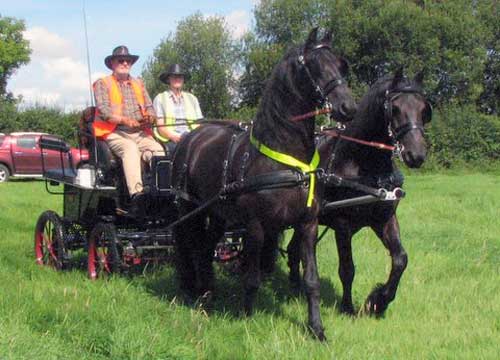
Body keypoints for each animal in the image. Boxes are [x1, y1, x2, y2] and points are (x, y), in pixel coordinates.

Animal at [170, 28, 358, 340]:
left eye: (342, 65)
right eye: (315, 66)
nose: (349, 107)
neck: (287, 160)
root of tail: (192, 138)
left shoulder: (307, 224)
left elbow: (311, 280)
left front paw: (316, 328)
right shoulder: (256, 226)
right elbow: (252, 278)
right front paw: (246, 317)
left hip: (219, 215)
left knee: (205, 249)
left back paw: (209, 294)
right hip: (189, 209)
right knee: (190, 247)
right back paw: (193, 291)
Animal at [288, 67, 432, 316]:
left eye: (424, 109)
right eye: (394, 108)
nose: (416, 155)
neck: (361, 162)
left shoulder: (384, 218)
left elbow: (400, 259)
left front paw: (379, 300)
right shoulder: (342, 225)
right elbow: (347, 269)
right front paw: (347, 307)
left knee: (294, 249)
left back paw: (296, 286)